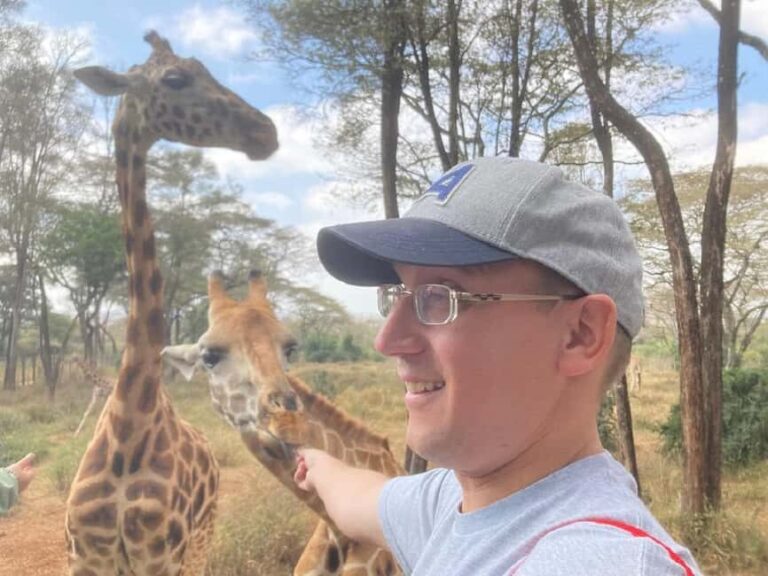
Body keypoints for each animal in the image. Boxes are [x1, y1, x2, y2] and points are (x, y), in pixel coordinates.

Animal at [65, 31, 303, 576]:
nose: (265, 131)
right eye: (175, 79)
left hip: (201, 539)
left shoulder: (160, 556)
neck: (129, 425)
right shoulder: (84, 557)